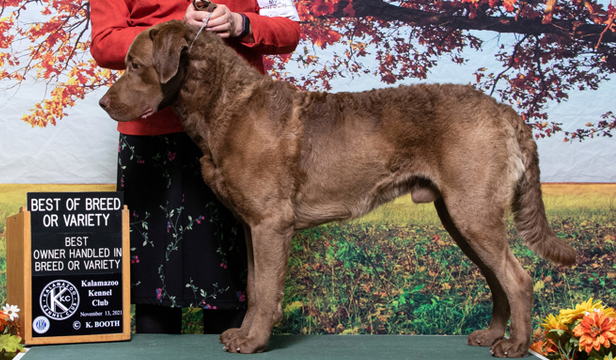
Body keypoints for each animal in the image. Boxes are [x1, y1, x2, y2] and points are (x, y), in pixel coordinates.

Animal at [98, 19, 576, 358]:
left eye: (135, 65)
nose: (103, 103)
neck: (224, 105)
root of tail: (505, 111)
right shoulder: (253, 226)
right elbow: (253, 285)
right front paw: (242, 333)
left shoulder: (271, 222)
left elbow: (267, 289)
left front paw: (253, 342)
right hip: (462, 216)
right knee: (497, 277)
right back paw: (491, 335)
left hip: (473, 210)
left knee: (518, 278)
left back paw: (514, 346)